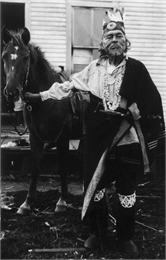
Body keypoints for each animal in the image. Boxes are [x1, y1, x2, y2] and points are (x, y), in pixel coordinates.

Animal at [1, 26, 89, 214]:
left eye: (26, 57)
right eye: (4, 56)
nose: (11, 92)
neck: (45, 99)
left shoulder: (62, 138)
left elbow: (62, 167)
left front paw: (62, 201)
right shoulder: (35, 138)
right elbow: (35, 168)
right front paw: (27, 203)